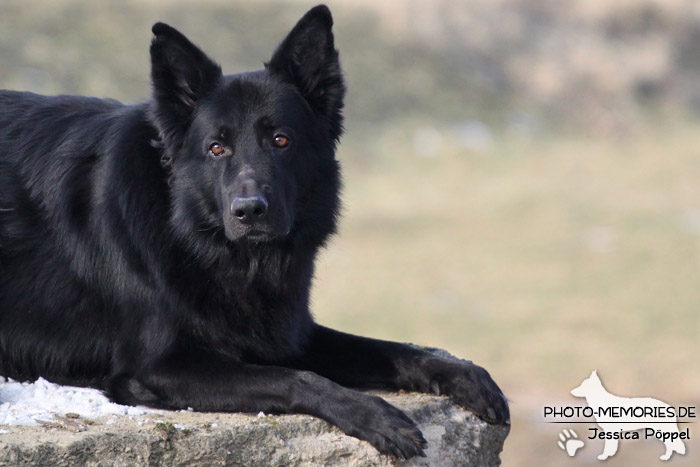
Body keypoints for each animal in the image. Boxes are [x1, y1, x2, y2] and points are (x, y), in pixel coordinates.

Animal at [1, 4, 508, 460]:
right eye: (216, 147)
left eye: (280, 140)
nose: (249, 211)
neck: (196, 238)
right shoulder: (160, 368)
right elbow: (293, 377)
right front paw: (374, 415)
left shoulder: (290, 335)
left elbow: (391, 349)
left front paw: (463, 375)